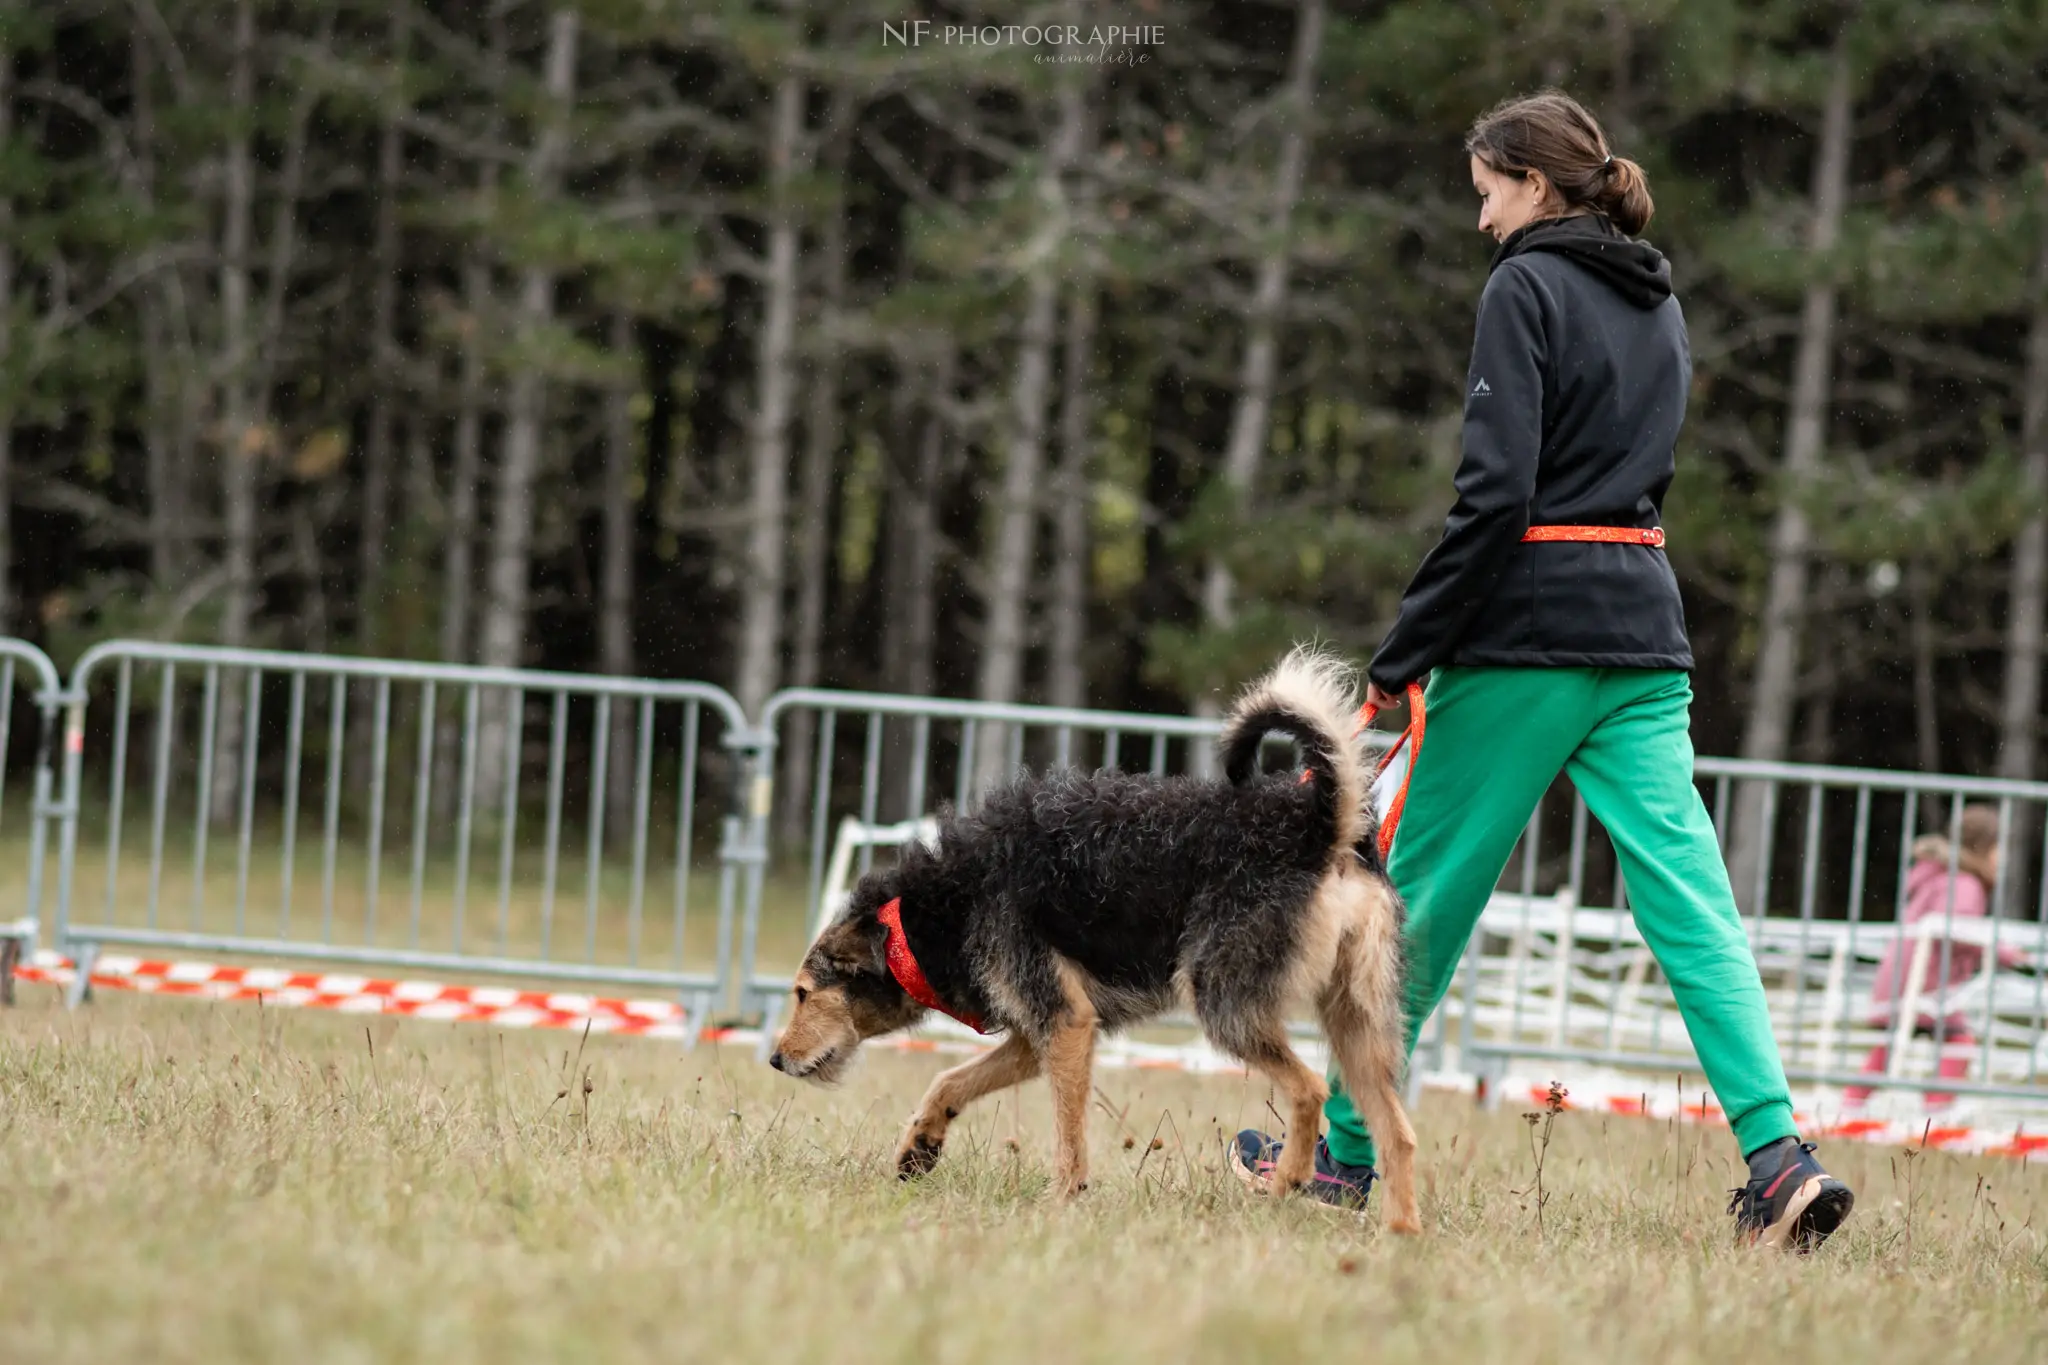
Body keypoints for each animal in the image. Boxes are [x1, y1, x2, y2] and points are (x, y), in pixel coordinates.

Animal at [761, 650, 1417, 1236]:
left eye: (802, 993)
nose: (772, 1060)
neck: (946, 901)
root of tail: (1315, 827)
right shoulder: (1038, 1037)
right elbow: (948, 1081)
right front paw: (921, 1146)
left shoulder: (1066, 1024)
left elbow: (1068, 1135)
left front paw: (1063, 1200)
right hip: (1357, 1024)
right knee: (1397, 1133)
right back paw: (1400, 1233)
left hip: (1227, 1004)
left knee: (1308, 1090)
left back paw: (1287, 1183)